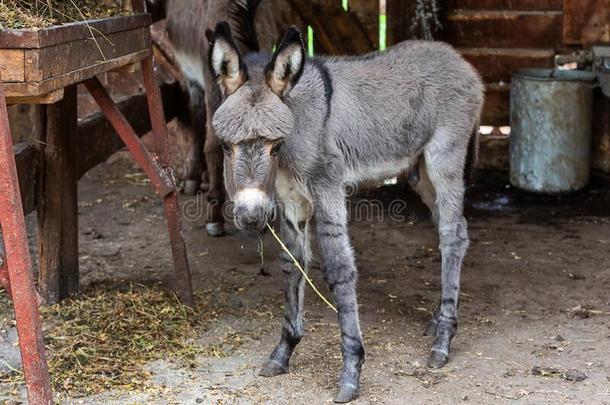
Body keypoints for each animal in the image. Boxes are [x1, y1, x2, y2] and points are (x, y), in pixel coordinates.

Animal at [207, 22, 482, 400]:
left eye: (275, 147)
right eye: (225, 147)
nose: (251, 217)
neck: (297, 124)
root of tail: (459, 60)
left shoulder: (327, 188)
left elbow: (339, 269)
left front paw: (351, 371)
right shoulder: (289, 200)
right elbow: (292, 264)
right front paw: (283, 352)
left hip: (445, 158)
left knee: (452, 236)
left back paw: (442, 343)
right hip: (421, 170)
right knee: (454, 231)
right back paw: (439, 320)